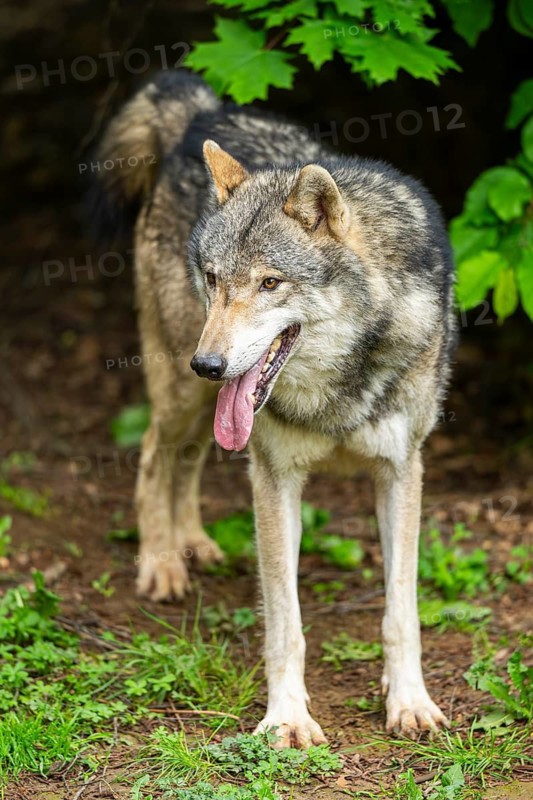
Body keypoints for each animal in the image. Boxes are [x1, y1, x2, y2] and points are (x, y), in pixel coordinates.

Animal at [95, 70, 457, 748]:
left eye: (269, 283)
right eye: (215, 279)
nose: (209, 364)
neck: (337, 386)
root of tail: (203, 111)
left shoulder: (402, 471)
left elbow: (402, 611)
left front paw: (410, 703)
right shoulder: (274, 475)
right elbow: (285, 622)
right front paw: (287, 719)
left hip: (203, 403)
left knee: (188, 459)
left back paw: (194, 542)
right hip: (180, 390)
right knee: (156, 454)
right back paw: (162, 563)